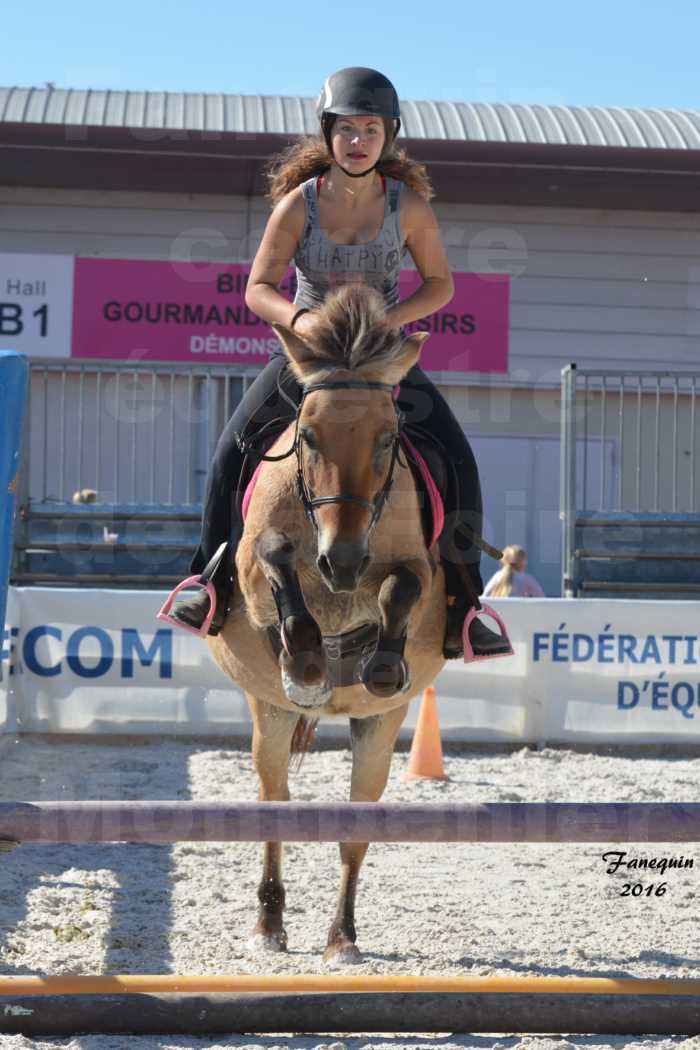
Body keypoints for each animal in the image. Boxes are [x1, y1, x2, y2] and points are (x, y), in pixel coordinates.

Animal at [207, 283, 447, 961]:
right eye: (309, 437)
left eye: (389, 439)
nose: (341, 561)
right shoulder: (256, 571)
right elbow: (273, 558)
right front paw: (310, 663)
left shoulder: (416, 571)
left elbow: (401, 585)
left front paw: (383, 661)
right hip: (268, 715)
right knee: (275, 803)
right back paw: (269, 924)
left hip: (379, 729)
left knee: (355, 824)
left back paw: (342, 936)